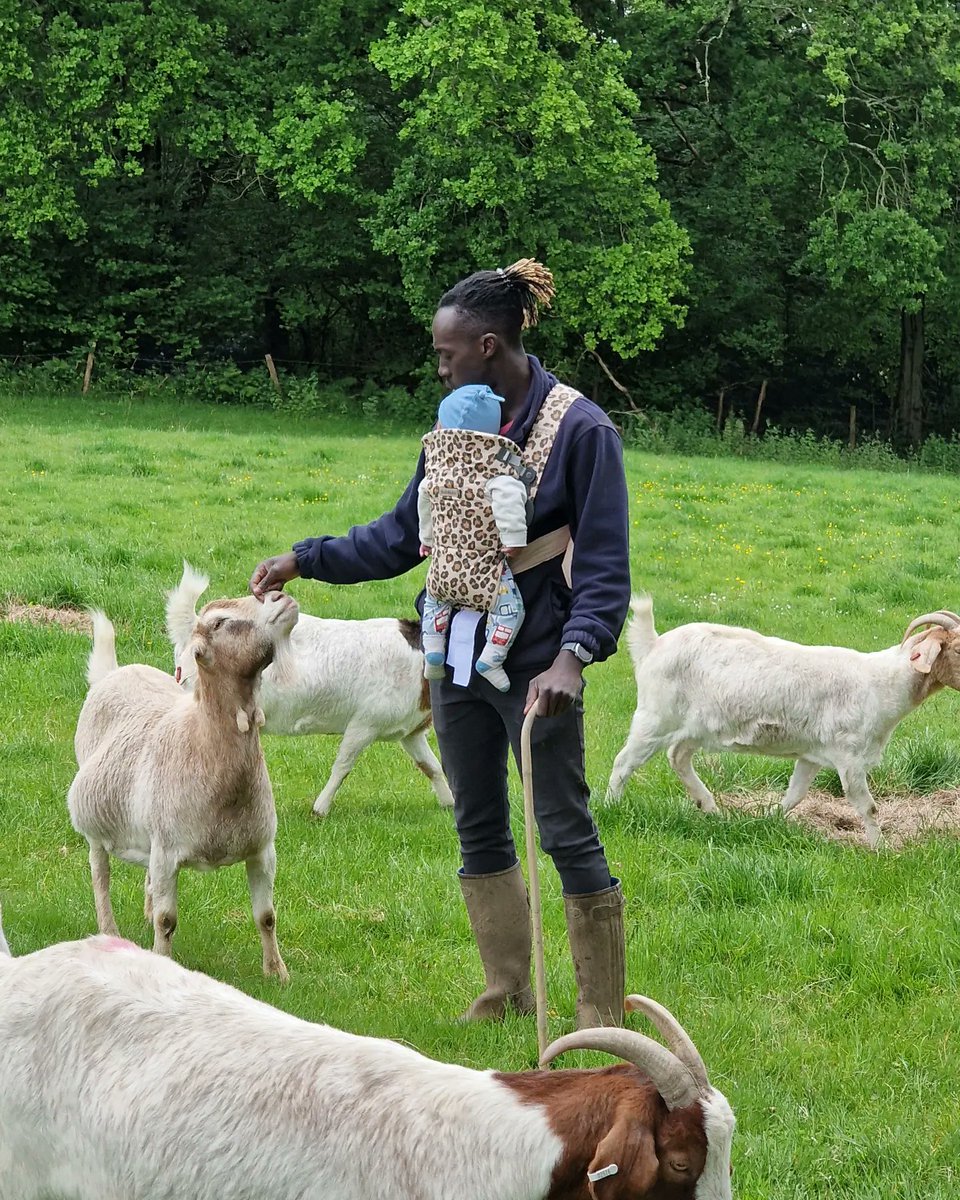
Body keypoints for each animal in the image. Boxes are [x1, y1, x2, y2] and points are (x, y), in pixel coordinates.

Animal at [66, 585, 297, 979]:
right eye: (219, 622)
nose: (280, 596)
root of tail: (113, 673)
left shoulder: (262, 849)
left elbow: (267, 916)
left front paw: (277, 973)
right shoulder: (168, 850)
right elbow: (167, 920)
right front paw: (162, 959)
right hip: (97, 825)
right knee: (100, 874)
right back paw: (109, 930)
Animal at [166, 561, 456, 816]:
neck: (418, 657)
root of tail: (191, 633)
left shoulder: (410, 731)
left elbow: (430, 766)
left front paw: (449, 803)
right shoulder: (365, 722)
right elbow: (343, 766)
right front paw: (320, 808)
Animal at [607, 595, 960, 849]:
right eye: (957, 648)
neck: (882, 683)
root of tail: (653, 644)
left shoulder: (813, 754)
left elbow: (796, 794)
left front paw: (765, 819)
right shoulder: (849, 756)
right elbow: (866, 806)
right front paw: (881, 849)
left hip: (695, 727)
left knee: (678, 756)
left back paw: (710, 808)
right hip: (655, 717)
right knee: (624, 762)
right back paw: (612, 808)